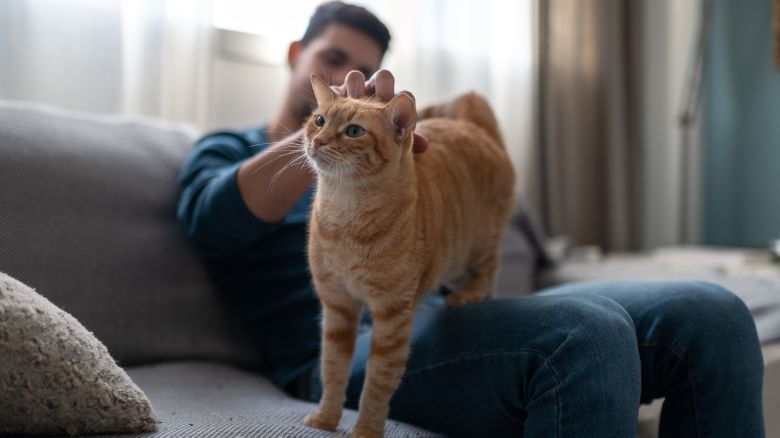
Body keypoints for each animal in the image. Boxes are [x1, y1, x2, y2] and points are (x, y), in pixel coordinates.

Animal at [302, 73, 516, 436]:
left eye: (354, 131)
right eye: (319, 120)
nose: (317, 140)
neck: (345, 216)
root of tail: (474, 126)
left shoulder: (392, 316)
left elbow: (378, 382)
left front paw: (366, 429)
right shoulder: (338, 307)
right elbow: (332, 368)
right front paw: (327, 418)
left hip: (478, 246)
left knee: (489, 273)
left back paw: (468, 294)